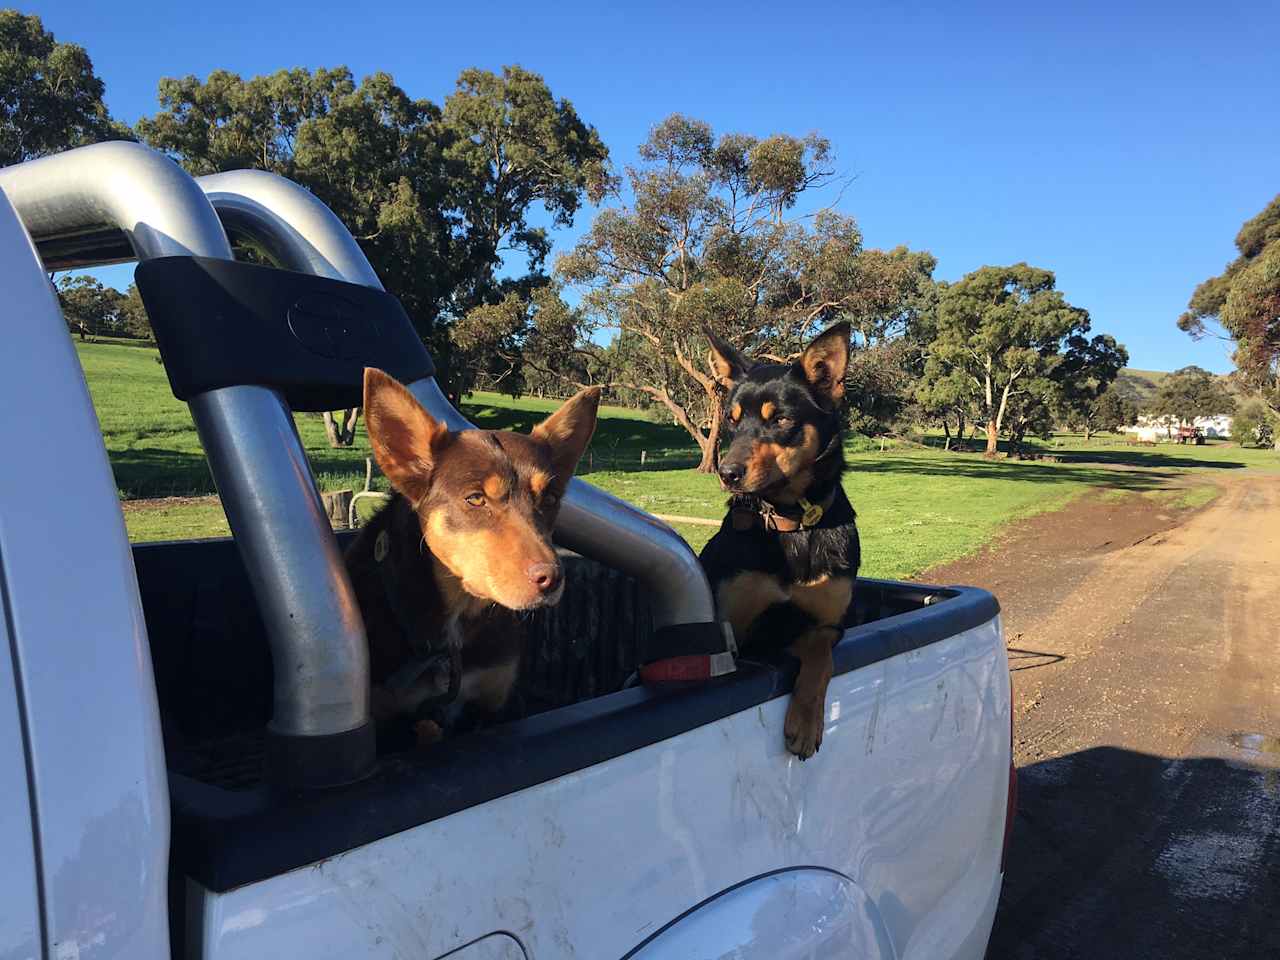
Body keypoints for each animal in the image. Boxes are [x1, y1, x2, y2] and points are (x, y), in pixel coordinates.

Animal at [696, 327, 865, 762]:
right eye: (732, 421)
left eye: (782, 420)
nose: (727, 473)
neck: (792, 526)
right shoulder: (735, 632)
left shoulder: (829, 620)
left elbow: (820, 652)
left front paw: (805, 723)